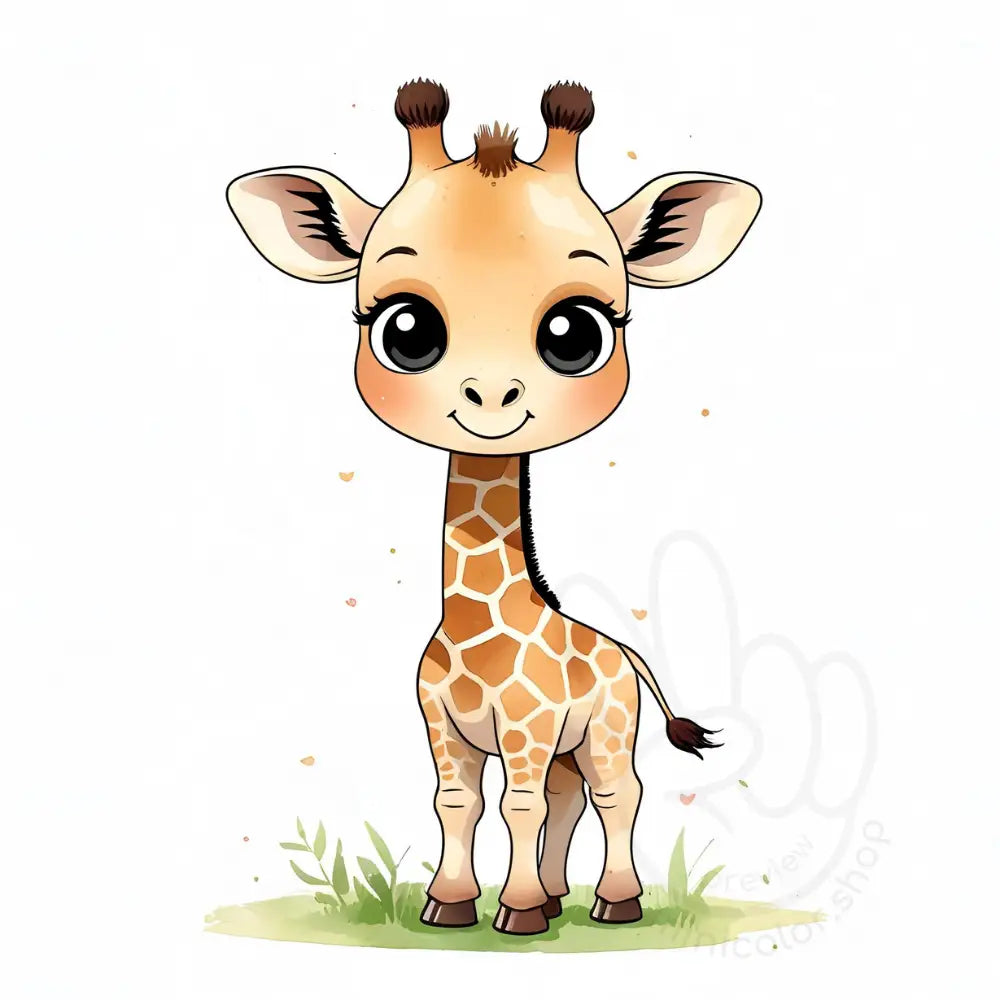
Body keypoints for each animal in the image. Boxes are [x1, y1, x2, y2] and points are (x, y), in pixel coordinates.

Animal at [226, 80, 761, 935]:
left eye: (574, 334)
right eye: (406, 328)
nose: (490, 397)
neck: (476, 623)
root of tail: (623, 650)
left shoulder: (527, 725)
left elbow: (518, 804)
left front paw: (516, 912)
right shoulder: (444, 724)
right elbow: (457, 803)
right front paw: (453, 905)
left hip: (607, 725)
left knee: (615, 792)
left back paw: (614, 902)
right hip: (575, 738)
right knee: (573, 798)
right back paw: (563, 894)